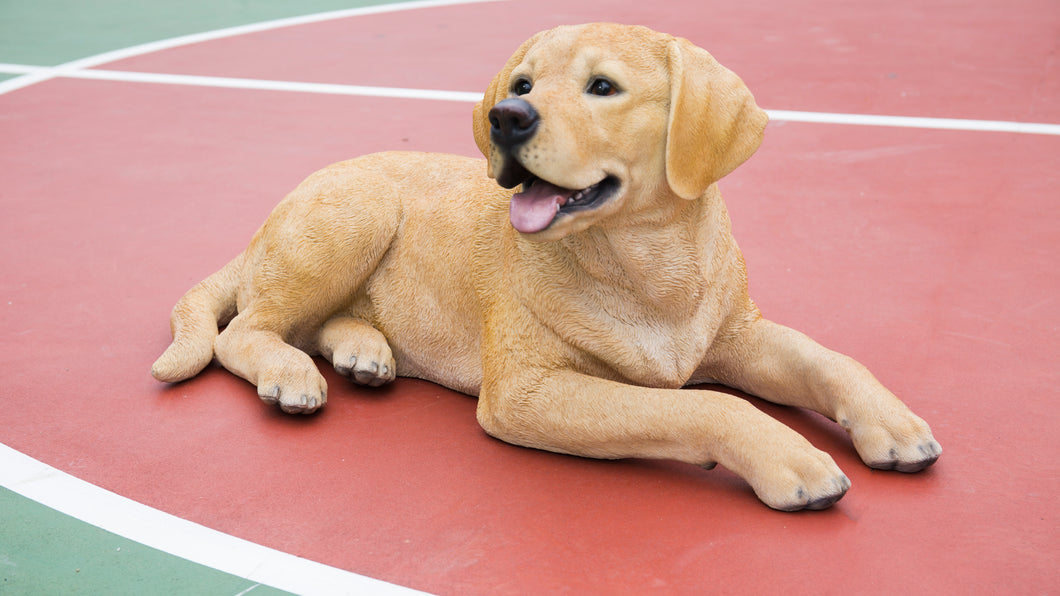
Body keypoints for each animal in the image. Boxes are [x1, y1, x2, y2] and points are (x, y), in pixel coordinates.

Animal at [153, 22, 941, 504]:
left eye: (604, 87)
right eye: (523, 85)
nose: (507, 117)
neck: (646, 270)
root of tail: (261, 230)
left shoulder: (738, 334)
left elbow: (831, 359)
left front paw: (892, 421)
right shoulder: (527, 392)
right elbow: (703, 403)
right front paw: (789, 456)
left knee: (311, 323)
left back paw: (361, 351)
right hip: (355, 214)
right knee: (245, 331)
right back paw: (291, 373)